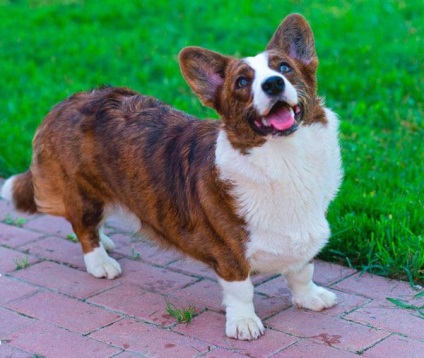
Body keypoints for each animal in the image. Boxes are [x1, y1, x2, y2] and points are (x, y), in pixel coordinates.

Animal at [0, 13, 342, 338]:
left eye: (284, 67)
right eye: (243, 82)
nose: (273, 84)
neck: (285, 159)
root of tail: (62, 104)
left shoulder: (303, 235)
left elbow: (302, 271)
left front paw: (310, 298)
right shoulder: (229, 252)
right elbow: (241, 290)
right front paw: (244, 324)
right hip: (84, 193)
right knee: (83, 227)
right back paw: (100, 262)